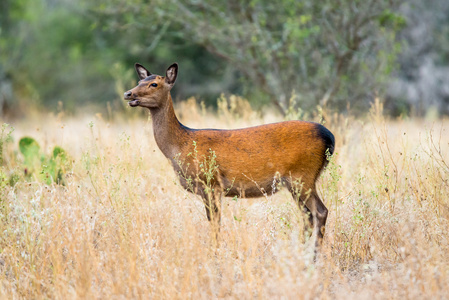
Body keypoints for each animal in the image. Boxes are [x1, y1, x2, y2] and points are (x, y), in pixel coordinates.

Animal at [124, 62, 334, 251]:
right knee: (308, 215)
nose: (128, 94)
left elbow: (215, 223)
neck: (181, 145)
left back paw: (312, 256)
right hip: (297, 181)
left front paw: (215, 254)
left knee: (319, 211)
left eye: (154, 84)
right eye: (140, 80)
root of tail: (329, 137)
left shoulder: (211, 183)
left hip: (302, 175)